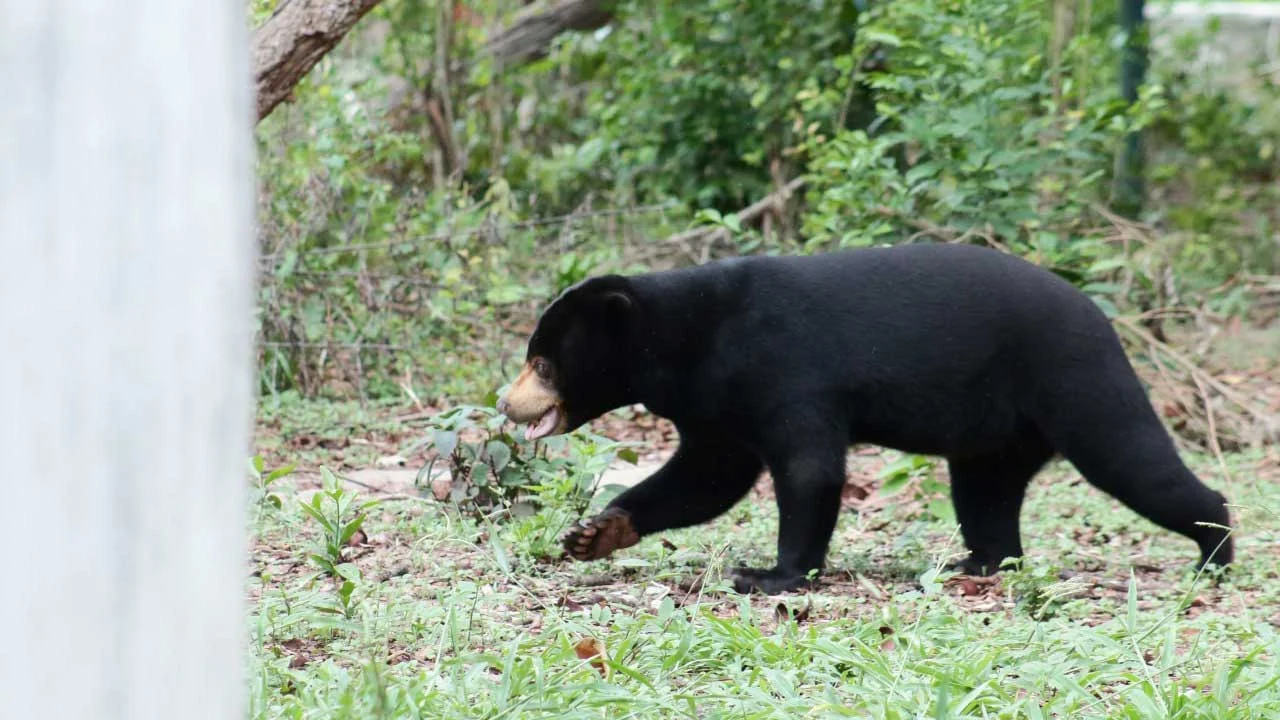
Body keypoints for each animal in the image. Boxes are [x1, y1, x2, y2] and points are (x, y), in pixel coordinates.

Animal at [496, 243, 1234, 594]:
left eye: (543, 362)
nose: (505, 402)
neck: (687, 341)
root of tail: (1101, 317)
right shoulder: (718, 404)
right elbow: (706, 477)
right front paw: (593, 534)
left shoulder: (785, 370)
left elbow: (808, 469)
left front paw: (770, 575)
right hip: (995, 430)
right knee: (986, 494)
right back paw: (980, 562)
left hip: (1073, 377)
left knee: (1132, 459)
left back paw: (1214, 549)